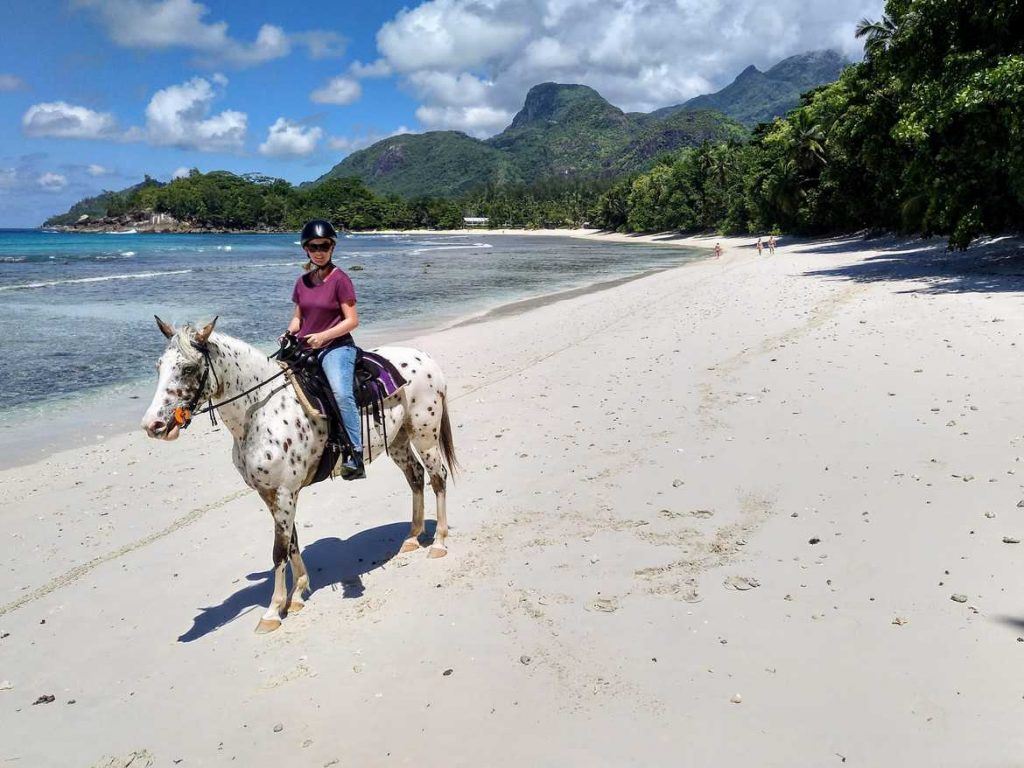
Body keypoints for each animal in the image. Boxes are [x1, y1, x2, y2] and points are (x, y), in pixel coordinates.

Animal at [140, 315, 456, 634]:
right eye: (159, 366)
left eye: (188, 368)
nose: (152, 425)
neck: (261, 411)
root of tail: (424, 358)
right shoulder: (271, 494)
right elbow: (291, 541)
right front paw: (298, 593)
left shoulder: (284, 491)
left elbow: (278, 550)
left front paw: (272, 611)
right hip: (399, 440)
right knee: (415, 477)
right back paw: (413, 538)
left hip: (425, 436)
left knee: (438, 478)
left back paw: (439, 543)